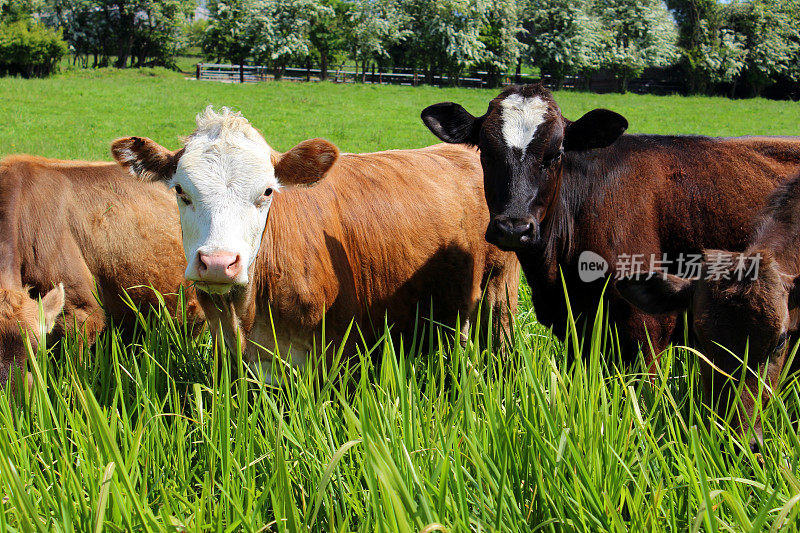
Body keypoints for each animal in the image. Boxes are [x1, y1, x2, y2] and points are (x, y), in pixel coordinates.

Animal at [112, 108, 520, 382]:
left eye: (267, 191)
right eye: (181, 190)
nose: (217, 263)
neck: (248, 313)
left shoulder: (337, 357)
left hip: (500, 290)